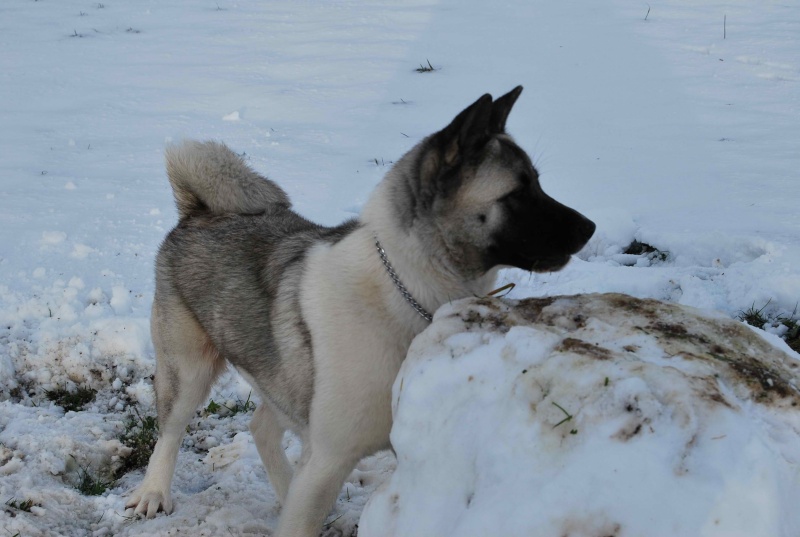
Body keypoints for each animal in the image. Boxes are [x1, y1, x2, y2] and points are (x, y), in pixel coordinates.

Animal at [126, 86, 592, 532]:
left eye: (538, 183)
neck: (403, 287)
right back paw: (153, 493)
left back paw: (283, 490)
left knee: (261, 428)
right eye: (519, 192)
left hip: (283, 380)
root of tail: (201, 211)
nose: (589, 228)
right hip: (189, 371)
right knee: (171, 431)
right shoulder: (327, 460)